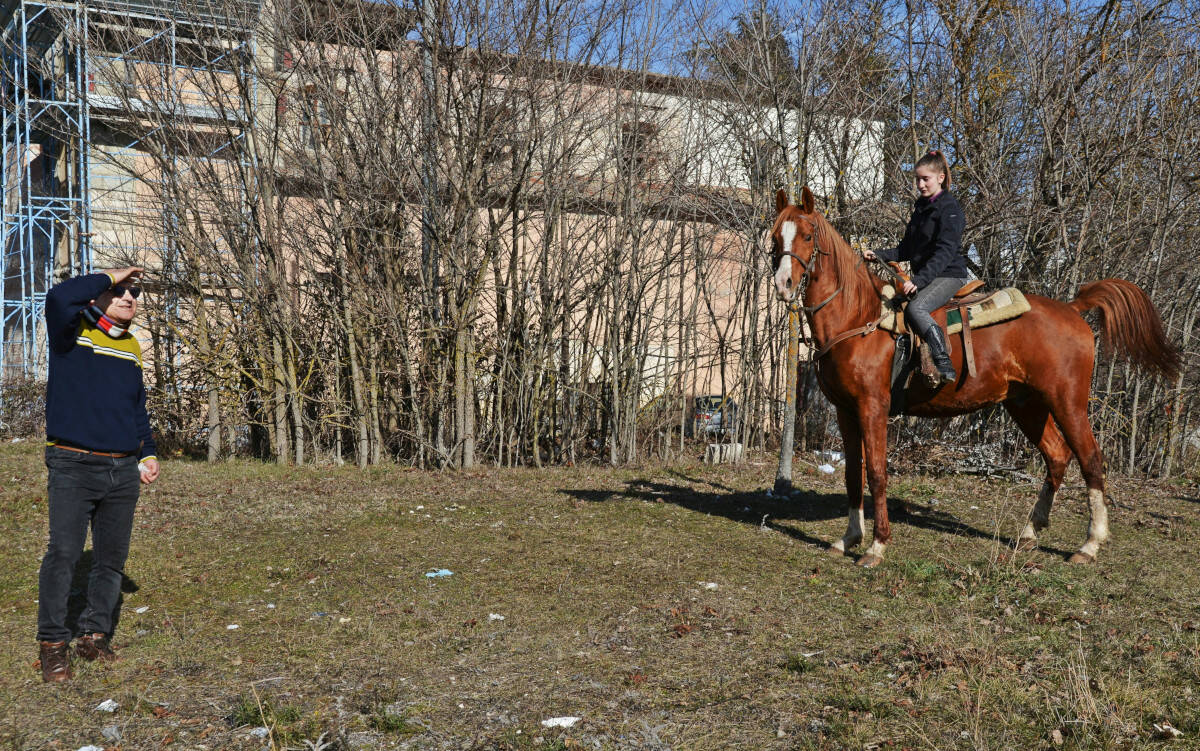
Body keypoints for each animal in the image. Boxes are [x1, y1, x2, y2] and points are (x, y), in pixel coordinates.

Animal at [768, 185, 1180, 561]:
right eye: (775, 237)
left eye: (807, 235)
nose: (783, 285)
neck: (859, 318)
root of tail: (1073, 310)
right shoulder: (846, 411)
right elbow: (854, 474)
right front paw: (849, 538)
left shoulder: (873, 408)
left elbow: (878, 473)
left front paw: (877, 546)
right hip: (1026, 404)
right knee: (1058, 456)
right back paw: (1030, 532)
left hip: (1068, 402)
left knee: (1091, 460)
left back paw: (1090, 544)